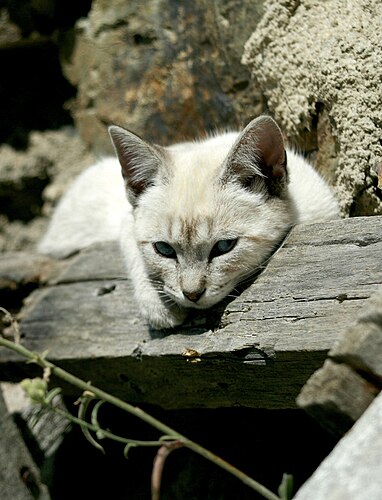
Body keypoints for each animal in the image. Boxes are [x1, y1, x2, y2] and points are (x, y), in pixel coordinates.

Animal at [38, 116, 338, 328]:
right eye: (164, 250)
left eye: (224, 247)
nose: (192, 295)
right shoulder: (126, 221)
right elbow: (135, 254)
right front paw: (160, 308)